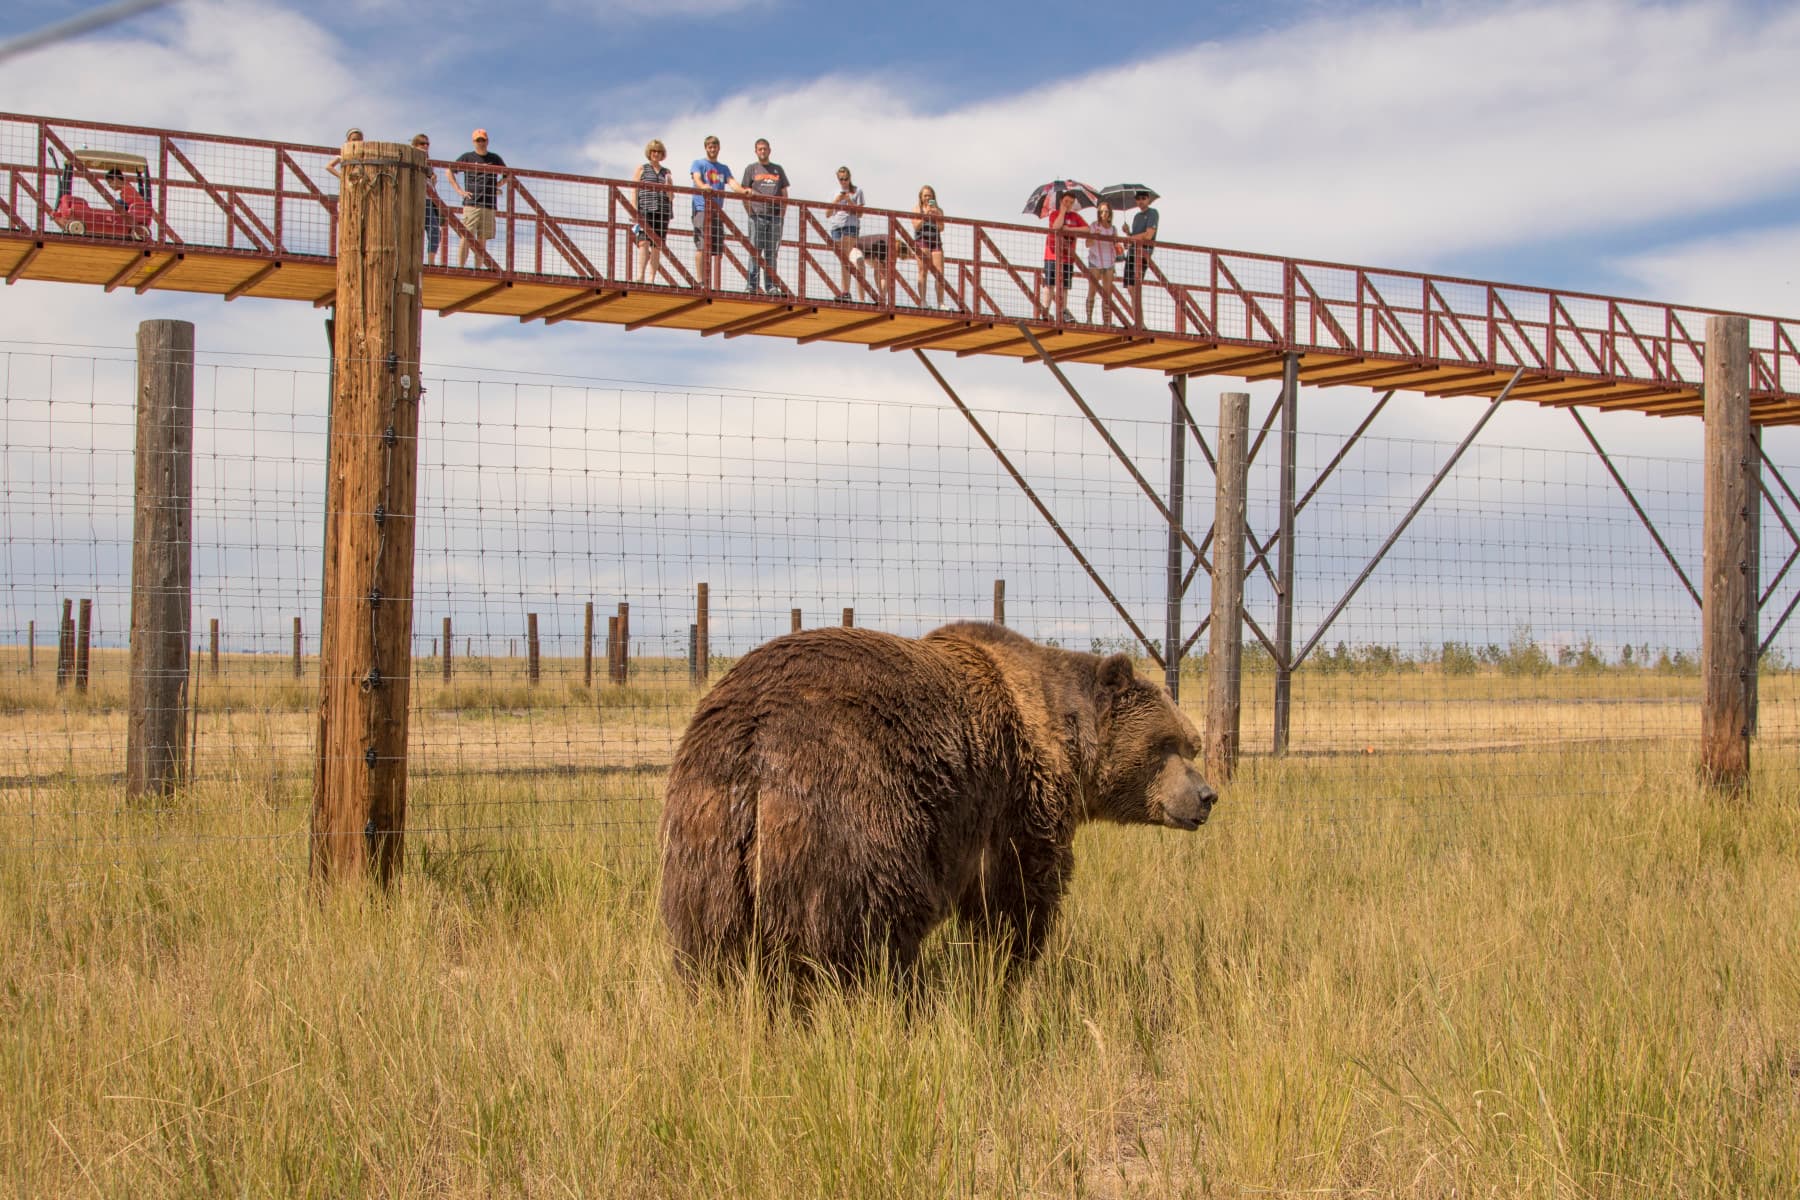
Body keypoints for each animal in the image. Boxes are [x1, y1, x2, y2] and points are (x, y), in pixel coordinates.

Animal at [658, 621, 1216, 983]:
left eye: (1192, 744)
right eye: (1167, 744)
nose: (1206, 796)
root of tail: (755, 745)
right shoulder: (1017, 797)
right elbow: (1015, 893)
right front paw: (1009, 965)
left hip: (704, 839)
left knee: (710, 946)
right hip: (852, 810)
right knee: (869, 928)